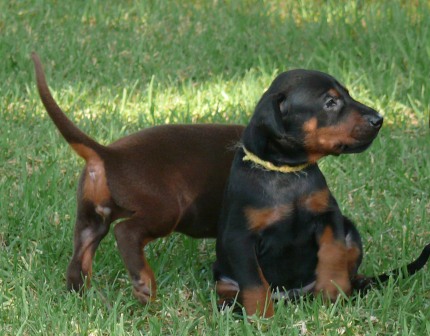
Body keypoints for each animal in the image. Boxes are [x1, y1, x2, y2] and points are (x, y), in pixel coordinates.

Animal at [214, 69, 430, 316]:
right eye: (330, 102)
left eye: (348, 94)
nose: (379, 119)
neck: (286, 171)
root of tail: (290, 296)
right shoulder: (240, 238)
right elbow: (254, 281)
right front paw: (261, 315)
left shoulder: (328, 215)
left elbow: (333, 252)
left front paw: (333, 291)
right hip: (222, 271)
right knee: (226, 286)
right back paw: (228, 303)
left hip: (350, 231)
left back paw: (358, 284)